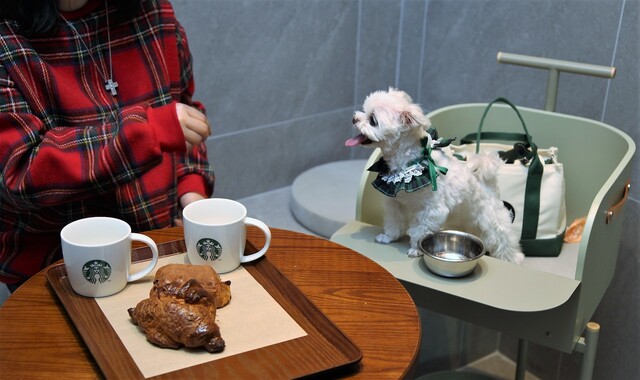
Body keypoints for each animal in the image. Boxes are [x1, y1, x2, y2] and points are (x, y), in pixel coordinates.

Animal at [344, 88, 524, 264]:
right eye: (364, 110)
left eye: (373, 120)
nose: (354, 118)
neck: (408, 166)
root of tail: (487, 182)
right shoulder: (396, 204)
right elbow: (394, 222)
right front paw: (389, 237)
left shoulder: (431, 211)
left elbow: (420, 230)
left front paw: (416, 249)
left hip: (493, 221)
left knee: (504, 242)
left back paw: (515, 259)